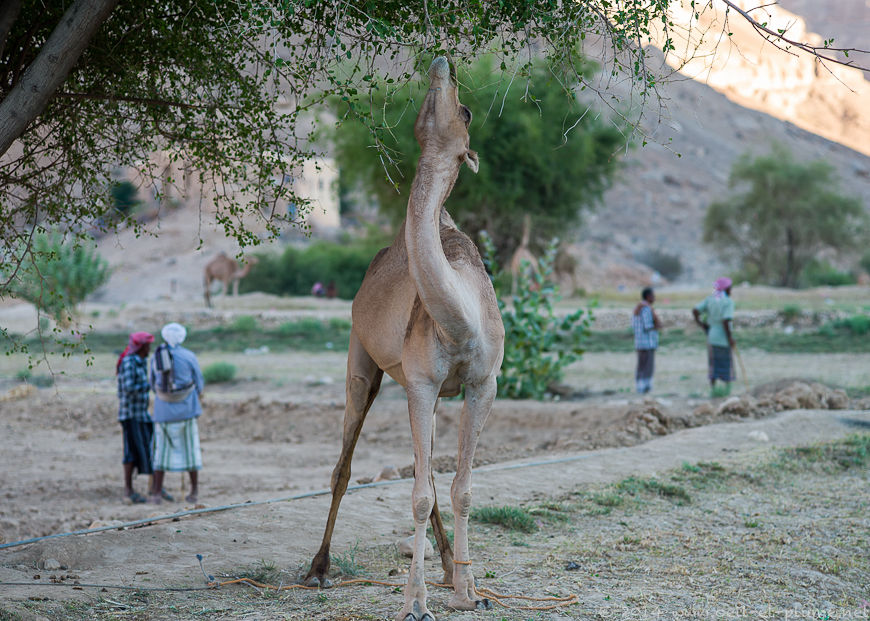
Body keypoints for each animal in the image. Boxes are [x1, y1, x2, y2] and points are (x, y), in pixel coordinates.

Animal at [306, 55, 508, 616]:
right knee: (345, 465)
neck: (460, 320)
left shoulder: (483, 383)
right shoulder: (419, 381)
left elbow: (461, 489)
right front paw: (414, 604)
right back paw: (318, 569)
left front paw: (468, 591)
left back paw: (448, 567)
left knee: (431, 474)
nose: (445, 63)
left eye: (464, 110)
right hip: (363, 361)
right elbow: (419, 495)